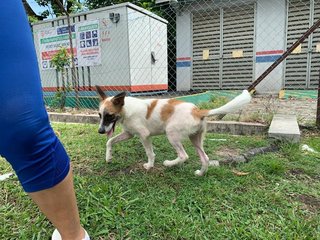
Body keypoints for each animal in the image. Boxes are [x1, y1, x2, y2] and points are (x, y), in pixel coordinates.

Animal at [96, 85, 251, 175]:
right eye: (99, 115)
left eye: (109, 115)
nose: (100, 131)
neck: (126, 109)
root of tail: (197, 111)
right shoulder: (128, 134)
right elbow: (110, 141)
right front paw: (108, 157)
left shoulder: (144, 135)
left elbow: (150, 153)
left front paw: (149, 166)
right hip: (195, 139)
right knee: (205, 158)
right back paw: (200, 173)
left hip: (171, 134)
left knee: (184, 156)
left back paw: (169, 164)